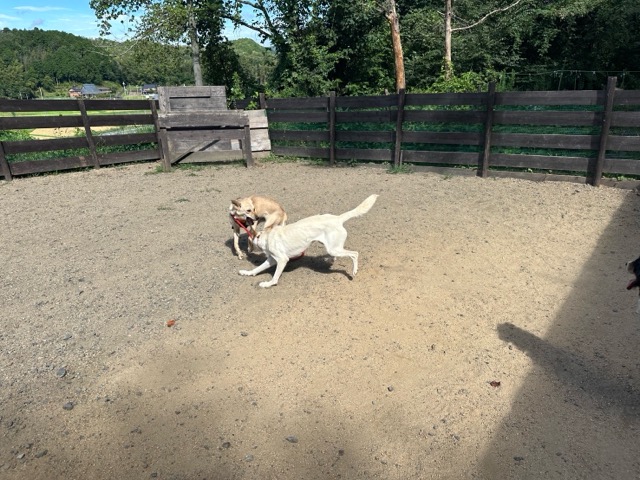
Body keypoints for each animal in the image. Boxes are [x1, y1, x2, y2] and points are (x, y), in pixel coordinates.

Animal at [239, 194, 378, 288]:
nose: (248, 251)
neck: (266, 236)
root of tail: (338, 218)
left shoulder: (282, 260)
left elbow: (275, 277)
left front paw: (268, 284)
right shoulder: (272, 260)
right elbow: (257, 269)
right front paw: (247, 272)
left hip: (334, 249)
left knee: (355, 254)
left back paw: (354, 271)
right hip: (332, 247)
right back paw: (330, 260)